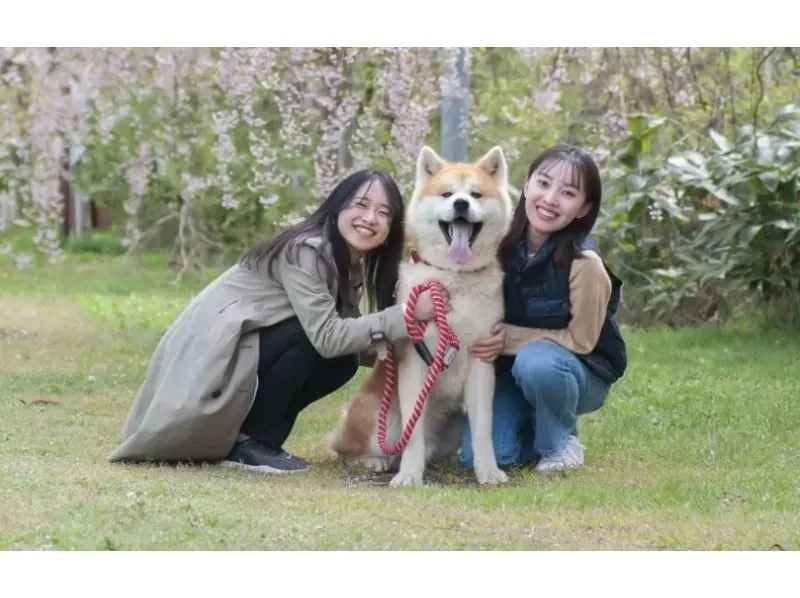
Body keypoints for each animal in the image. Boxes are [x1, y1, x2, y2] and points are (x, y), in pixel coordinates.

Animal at [324, 145, 512, 488]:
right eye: (447, 194)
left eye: (475, 194)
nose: (461, 204)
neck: (453, 279)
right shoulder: (415, 360)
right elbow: (413, 433)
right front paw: (410, 476)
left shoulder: (482, 360)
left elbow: (483, 429)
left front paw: (488, 471)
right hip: (377, 416)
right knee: (349, 448)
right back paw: (376, 461)